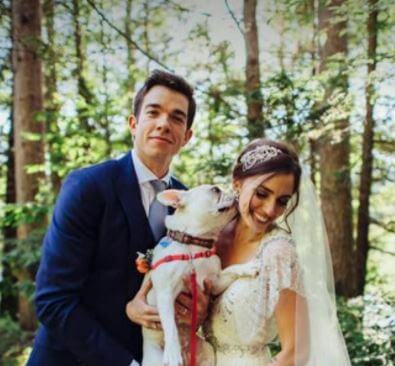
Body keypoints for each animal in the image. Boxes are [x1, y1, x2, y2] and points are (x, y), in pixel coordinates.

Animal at [142, 186, 240, 366]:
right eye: (215, 190)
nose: (235, 193)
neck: (194, 245)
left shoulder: (214, 282)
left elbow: (233, 271)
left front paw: (253, 265)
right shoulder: (165, 294)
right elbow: (170, 325)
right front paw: (173, 352)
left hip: (207, 352)